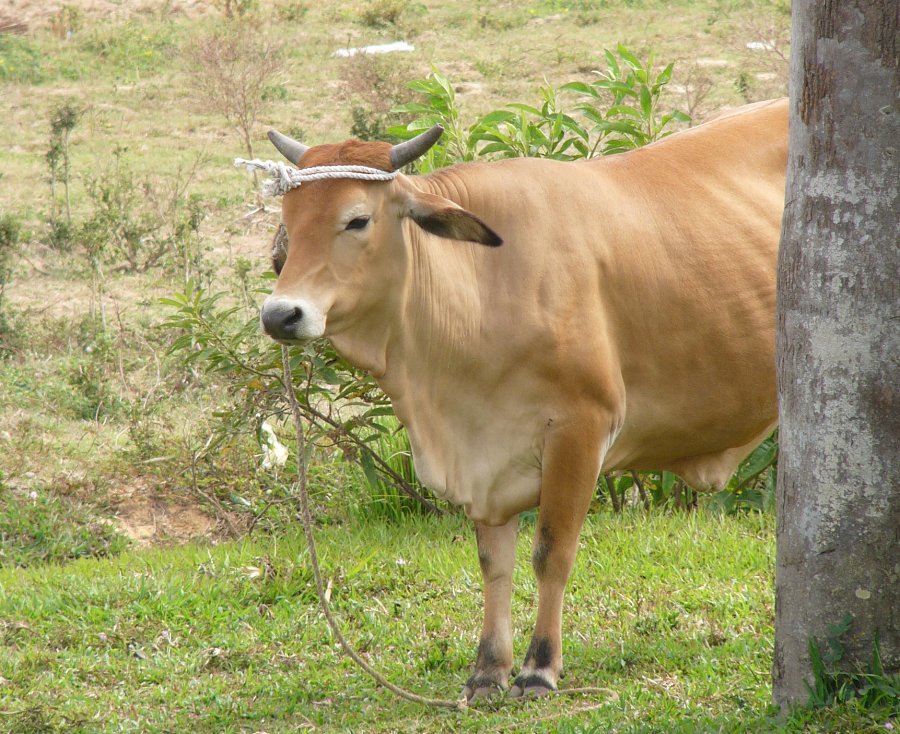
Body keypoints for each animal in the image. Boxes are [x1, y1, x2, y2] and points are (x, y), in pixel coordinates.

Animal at [256, 98, 784, 700]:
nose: (280, 314)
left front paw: (539, 666)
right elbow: (494, 565)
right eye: (289, 221)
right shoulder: (483, 456)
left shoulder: (581, 430)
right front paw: (488, 669)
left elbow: (551, 553)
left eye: (357, 219)